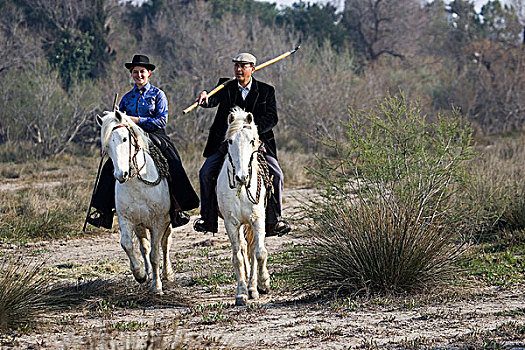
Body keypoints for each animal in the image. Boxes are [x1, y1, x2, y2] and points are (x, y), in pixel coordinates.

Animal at [96, 110, 174, 294]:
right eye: (107, 145)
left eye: (125, 138)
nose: (121, 174)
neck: (137, 183)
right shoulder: (127, 220)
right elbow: (127, 244)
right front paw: (140, 274)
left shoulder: (159, 222)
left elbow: (155, 254)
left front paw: (157, 287)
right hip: (140, 225)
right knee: (144, 247)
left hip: (167, 222)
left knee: (165, 243)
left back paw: (167, 274)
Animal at [215, 107, 270, 306]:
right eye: (230, 141)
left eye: (252, 140)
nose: (242, 177)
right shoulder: (231, 223)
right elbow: (238, 257)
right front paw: (241, 293)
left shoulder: (257, 219)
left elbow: (259, 253)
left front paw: (263, 284)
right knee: (245, 249)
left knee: (253, 250)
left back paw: (255, 287)